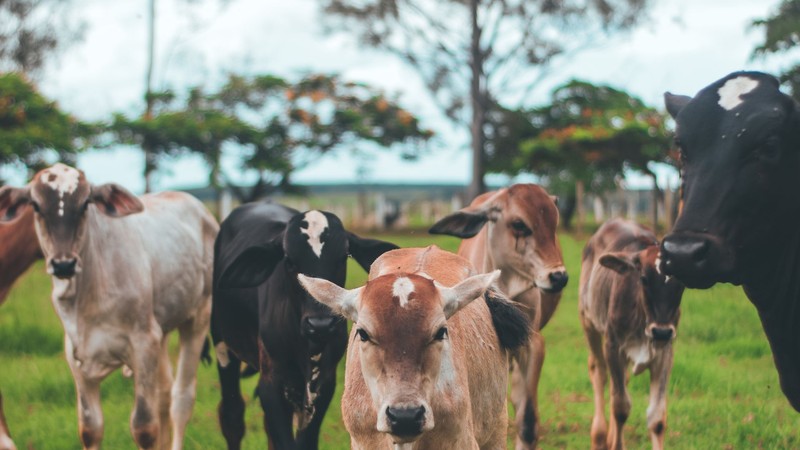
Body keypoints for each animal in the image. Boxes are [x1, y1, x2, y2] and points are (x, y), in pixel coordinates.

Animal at [0, 163, 218, 450]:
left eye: (85, 204)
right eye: (35, 205)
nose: (63, 264)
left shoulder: (143, 344)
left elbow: (144, 427)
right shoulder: (77, 358)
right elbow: (90, 428)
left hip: (198, 317)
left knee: (181, 399)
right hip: (161, 331)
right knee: (163, 393)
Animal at [211, 202, 398, 450]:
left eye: (343, 257)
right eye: (289, 261)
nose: (321, 324)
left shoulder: (324, 384)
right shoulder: (271, 382)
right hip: (222, 346)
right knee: (232, 416)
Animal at [580, 219, 684, 450]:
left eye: (682, 283)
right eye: (643, 278)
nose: (661, 331)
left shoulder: (665, 354)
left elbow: (656, 418)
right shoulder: (613, 347)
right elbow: (620, 408)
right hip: (589, 323)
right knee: (599, 372)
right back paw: (599, 436)